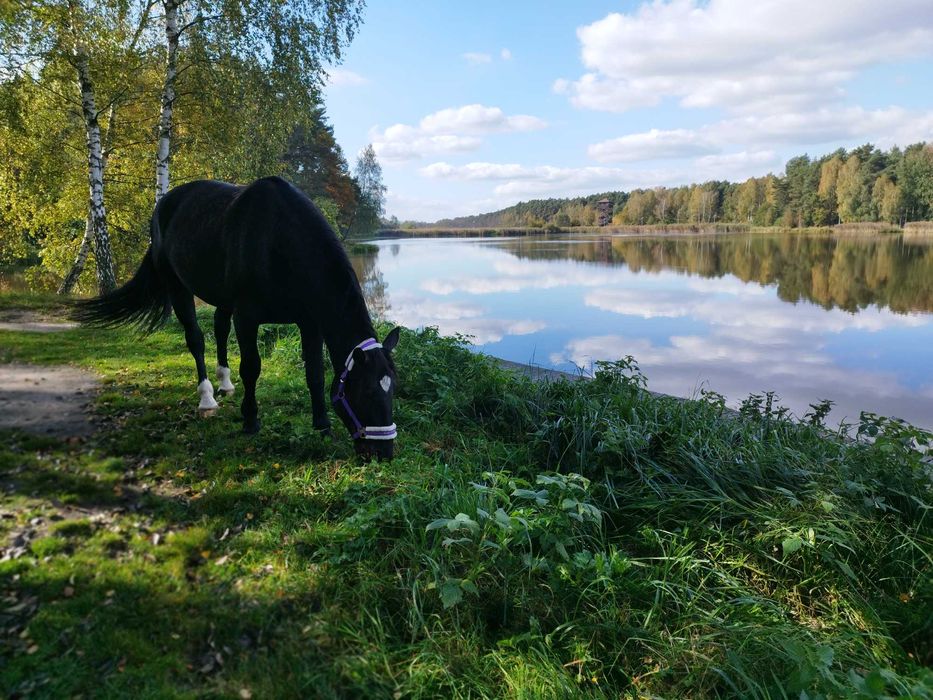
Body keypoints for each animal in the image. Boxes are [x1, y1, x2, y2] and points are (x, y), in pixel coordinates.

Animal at [77, 175, 400, 460]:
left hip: (222, 300)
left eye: (392, 389)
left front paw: (322, 425)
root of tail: (163, 205)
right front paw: (250, 420)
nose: (382, 454)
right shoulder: (247, 318)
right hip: (178, 288)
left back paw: (225, 383)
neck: (278, 241)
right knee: (196, 340)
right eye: (366, 391)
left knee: (219, 329)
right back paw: (207, 398)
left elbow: (315, 374)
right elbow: (251, 368)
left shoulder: (310, 323)